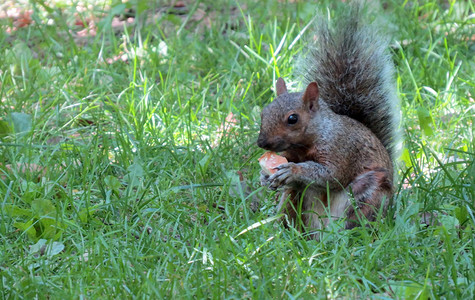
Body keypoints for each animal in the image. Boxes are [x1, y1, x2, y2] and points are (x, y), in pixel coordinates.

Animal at [258, 3, 400, 236]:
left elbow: (330, 175)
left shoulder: (342, 149)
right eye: (264, 112)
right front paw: (264, 178)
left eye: (293, 119)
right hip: (292, 201)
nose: (262, 143)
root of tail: (322, 232)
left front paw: (294, 171)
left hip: (369, 196)